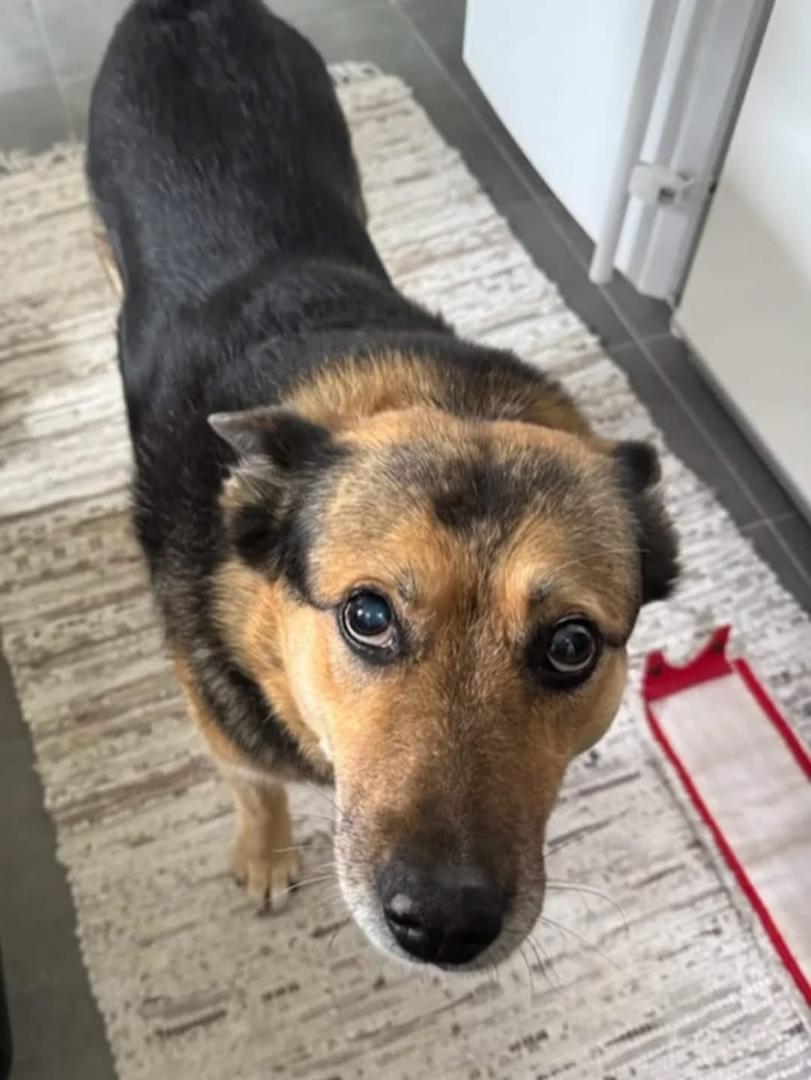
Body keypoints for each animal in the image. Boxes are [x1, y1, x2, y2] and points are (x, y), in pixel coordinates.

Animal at [87, 0, 678, 971]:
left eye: (571, 646)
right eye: (367, 616)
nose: (443, 926)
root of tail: (195, 10)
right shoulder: (224, 728)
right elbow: (255, 789)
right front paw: (265, 855)